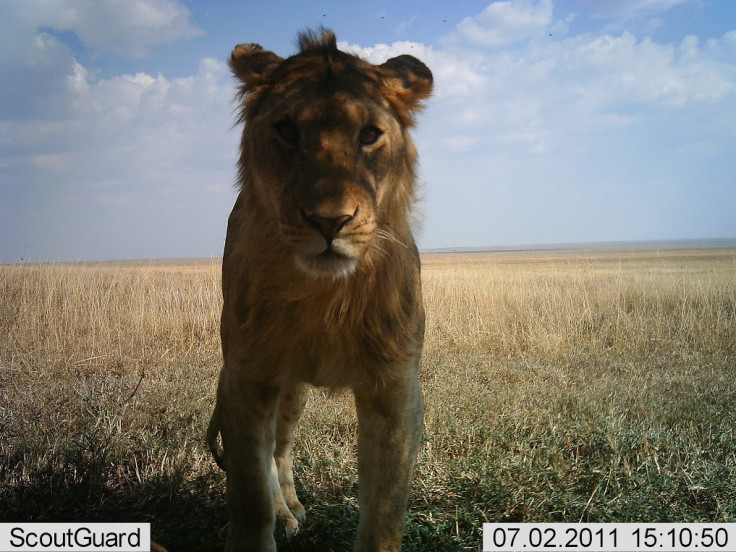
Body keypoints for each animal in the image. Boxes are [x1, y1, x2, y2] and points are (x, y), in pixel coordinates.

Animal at [206, 30, 432, 552]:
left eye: (369, 134)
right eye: (287, 131)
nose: (330, 222)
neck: (324, 294)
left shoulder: (395, 389)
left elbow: (385, 512)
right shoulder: (246, 376)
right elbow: (249, 494)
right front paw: (263, 522)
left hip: (295, 392)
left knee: (282, 446)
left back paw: (291, 506)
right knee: (271, 450)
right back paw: (284, 514)